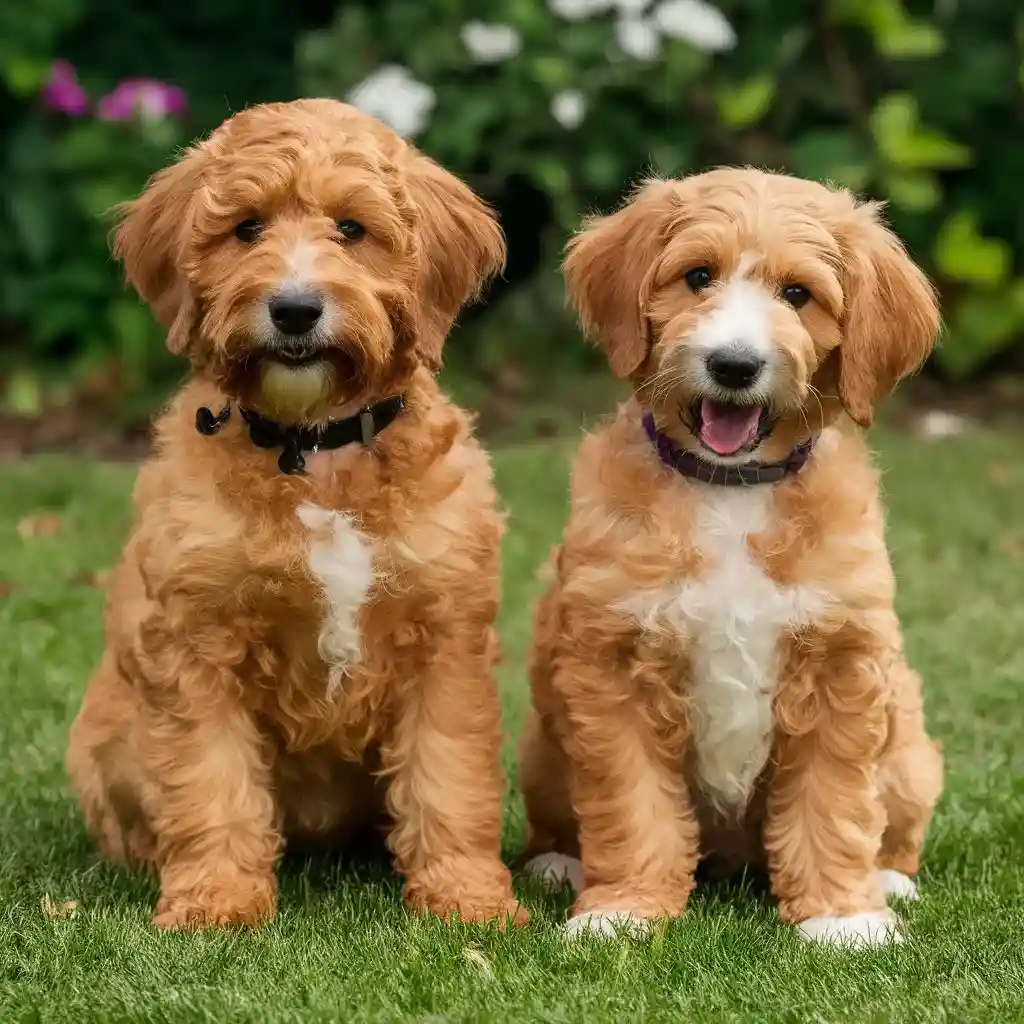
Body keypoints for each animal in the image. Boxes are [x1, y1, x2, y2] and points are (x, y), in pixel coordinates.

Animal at [66, 99, 528, 933]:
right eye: (246, 227)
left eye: (352, 227)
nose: (293, 309)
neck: (314, 450)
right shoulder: (195, 644)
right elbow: (209, 780)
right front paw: (215, 900)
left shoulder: (446, 640)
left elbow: (449, 777)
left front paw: (467, 898)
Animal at [520, 165, 942, 942]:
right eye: (698, 276)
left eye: (799, 294)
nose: (734, 365)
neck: (730, 488)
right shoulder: (614, 664)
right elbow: (632, 803)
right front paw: (622, 910)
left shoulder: (841, 661)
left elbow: (834, 804)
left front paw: (843, 919)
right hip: (540, 746)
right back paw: (558, 863)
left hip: (910, 749)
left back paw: (889, 880)